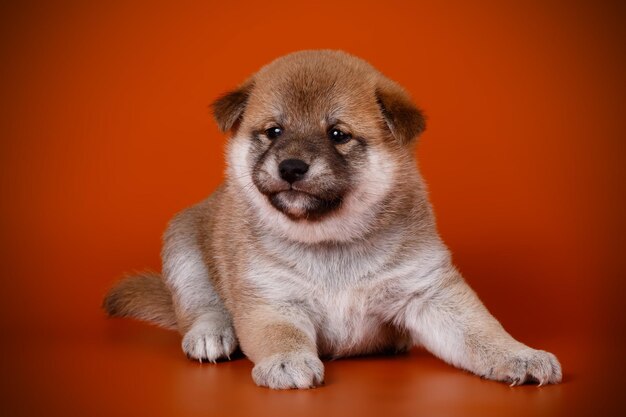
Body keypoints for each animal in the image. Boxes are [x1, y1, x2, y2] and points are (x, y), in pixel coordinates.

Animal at [103, 50, 560, 388]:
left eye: (338, 135)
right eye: (273, 131)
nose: (291, 167)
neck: (330, 241)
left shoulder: (428, 291)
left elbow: (482, 331)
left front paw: (520, 355)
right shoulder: (271, 298)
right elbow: (280, 334)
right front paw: (287, 361)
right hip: (183, 247)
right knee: (198, 305)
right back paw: (211, 334)